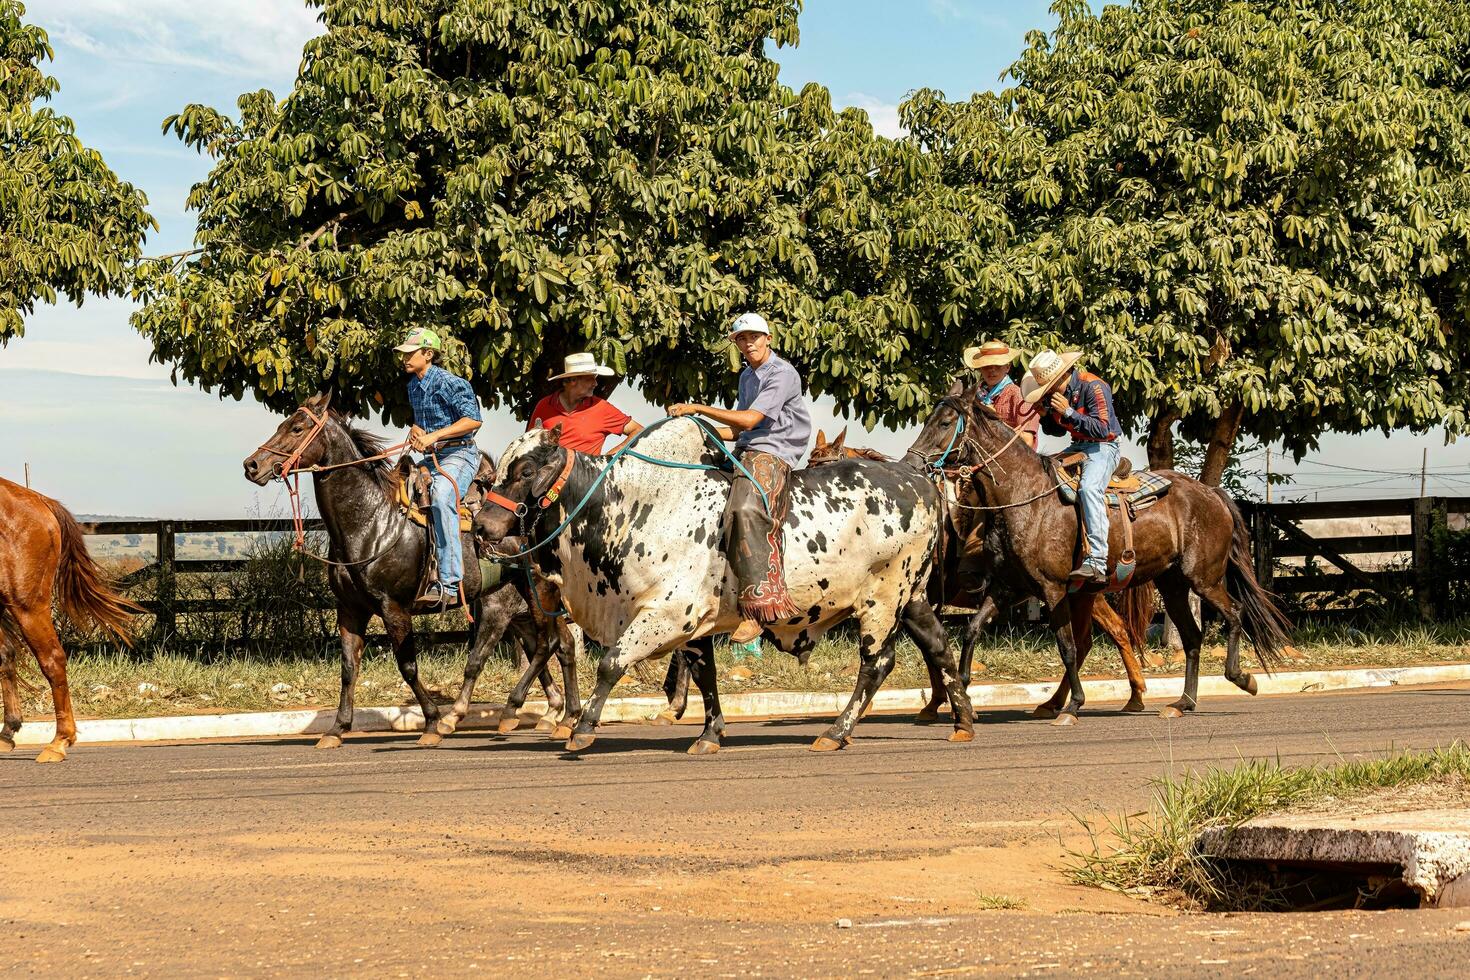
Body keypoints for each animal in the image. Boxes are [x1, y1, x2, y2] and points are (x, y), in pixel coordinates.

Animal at [244, 393, 570, 746]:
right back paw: (554, 715)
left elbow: (408, 666)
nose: (252, 465)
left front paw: (431, 721)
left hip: (533, 592)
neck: (372, 521)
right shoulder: (350, 609)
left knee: (545, 644)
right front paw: (337, 729)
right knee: (551, 645)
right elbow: (348, 668)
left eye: (297, 428)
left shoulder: (394, 608)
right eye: (283, 424)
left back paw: (506, 712)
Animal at [476, 417, 970, 758]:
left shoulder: (666, 614)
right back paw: (962, 721)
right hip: (913, 599)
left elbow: (611, 663)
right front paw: (709, 734)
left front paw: (581, 729)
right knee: (939, 647)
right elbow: (705, 677)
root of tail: (921, 480)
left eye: (525, 469)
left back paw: (836, 732)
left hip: (882, 600)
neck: (630, 506)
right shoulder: (694, 628)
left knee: (877, 664)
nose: (481, 525)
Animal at [905, 382, 1287, 719]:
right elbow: (969, 632)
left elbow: (1067, 646)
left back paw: (1240, 678)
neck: (1024, 499)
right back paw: (1180, 703)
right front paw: (962, 697)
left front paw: (1073, 706)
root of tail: (1211, 493)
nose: (913, 463)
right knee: (1191, 636)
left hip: (1202, 578)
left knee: (1234, 614)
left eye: (944, 423)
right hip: (1170, 584)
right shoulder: (1006, 587)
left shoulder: (1053, 589)